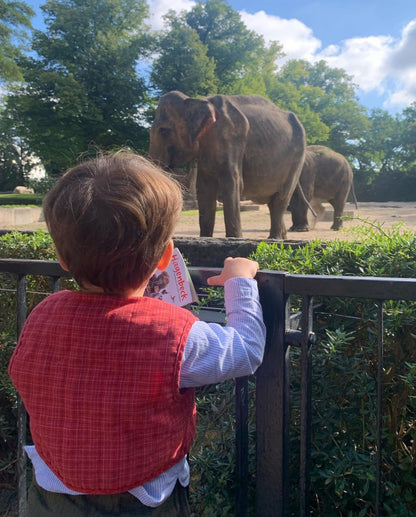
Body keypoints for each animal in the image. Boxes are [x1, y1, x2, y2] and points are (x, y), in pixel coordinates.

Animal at [148, 89, 304, 239]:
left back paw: (274, 238)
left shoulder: (232, 138)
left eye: (164, 131)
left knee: (281, 198)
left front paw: (234, 239)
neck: (198, 100)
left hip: (297, 160)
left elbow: (232, 183)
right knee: (273, 202)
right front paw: (205, 238)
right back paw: (282, 238)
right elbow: (204, 189)